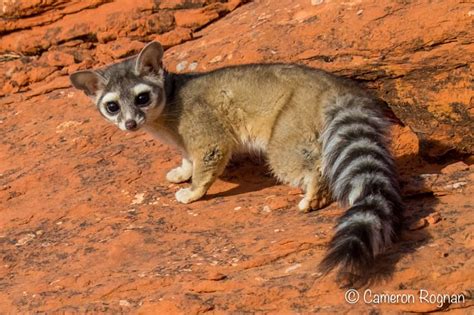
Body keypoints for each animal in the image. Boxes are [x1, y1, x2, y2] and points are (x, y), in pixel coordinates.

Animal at [70, 41, 404, 282]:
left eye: (141, 98)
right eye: (112, 106)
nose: (129, 124)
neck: (167, 98)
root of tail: (338, 88)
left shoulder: (201, 122)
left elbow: (211, 150)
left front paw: (195, 190)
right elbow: (189, 156)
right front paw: (184, 169)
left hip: (291, 122)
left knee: (292, 159)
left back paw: (315, 188)